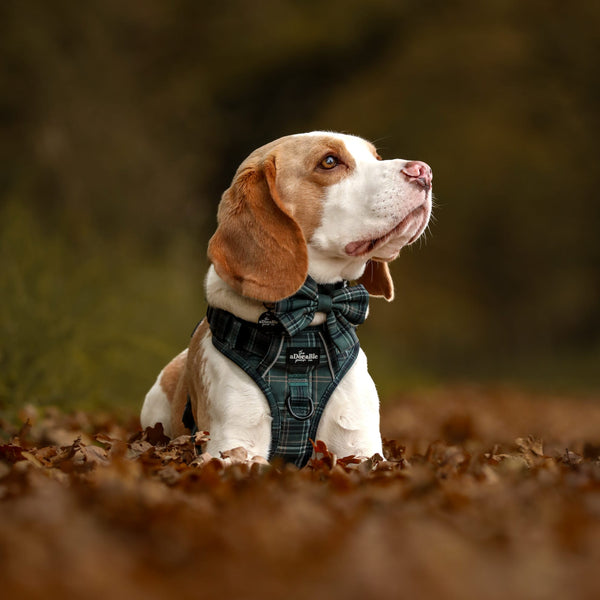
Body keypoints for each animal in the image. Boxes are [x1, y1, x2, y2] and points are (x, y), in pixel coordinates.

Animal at [141, 134, 432, 466]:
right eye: (329, 161)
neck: (307, 326)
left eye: (376, 157)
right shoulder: (234, 444)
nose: (423, 171)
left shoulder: (359, 445)